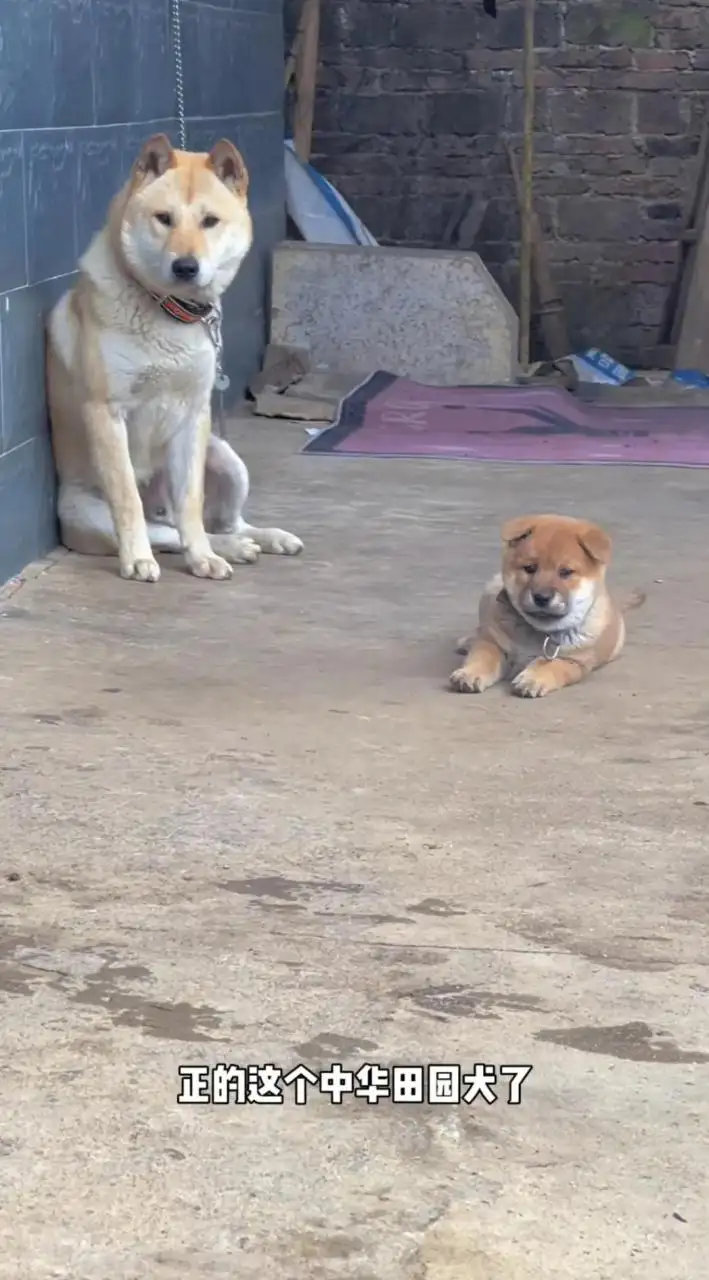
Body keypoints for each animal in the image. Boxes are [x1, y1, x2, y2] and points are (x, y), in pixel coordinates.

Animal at [46, 132, 300, 583]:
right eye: (163, 218)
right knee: (164, 532)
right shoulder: (106, 412)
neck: (167, 312)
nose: (185, 266)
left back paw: (258, 540)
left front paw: (202, 558)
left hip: (227, 459)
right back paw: (221, 548)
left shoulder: (194, 415)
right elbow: (128, 498)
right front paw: (136, 560)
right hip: (90, 512)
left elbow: (191, 505)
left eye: (210, 221)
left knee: (216, 523)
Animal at [450, 512, 642, 701]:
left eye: (566, 572)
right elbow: (483, 656)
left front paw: (532, 679)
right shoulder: (493, 643)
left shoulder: (573, 661)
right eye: (529, 568)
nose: (542, 598)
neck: (539, 631)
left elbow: (549, 664)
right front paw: (469, 673)